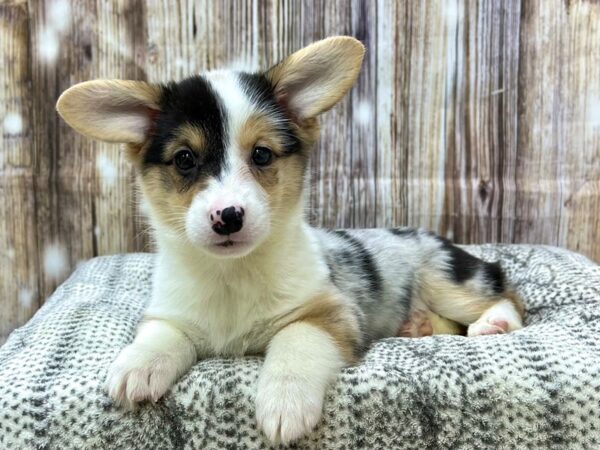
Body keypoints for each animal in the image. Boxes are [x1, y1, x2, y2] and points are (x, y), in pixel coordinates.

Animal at [57, 37, 524, 444]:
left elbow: (295, 342)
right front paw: (136, 366)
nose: (228, 217)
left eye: (262, 154)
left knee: (506, 296)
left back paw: (493, 323)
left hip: (447, 278)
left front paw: (285, 402)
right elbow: (161, 336)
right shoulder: (172, 313)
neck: (232, 274)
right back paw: (420, 325)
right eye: (185, 159)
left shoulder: (327, 311)